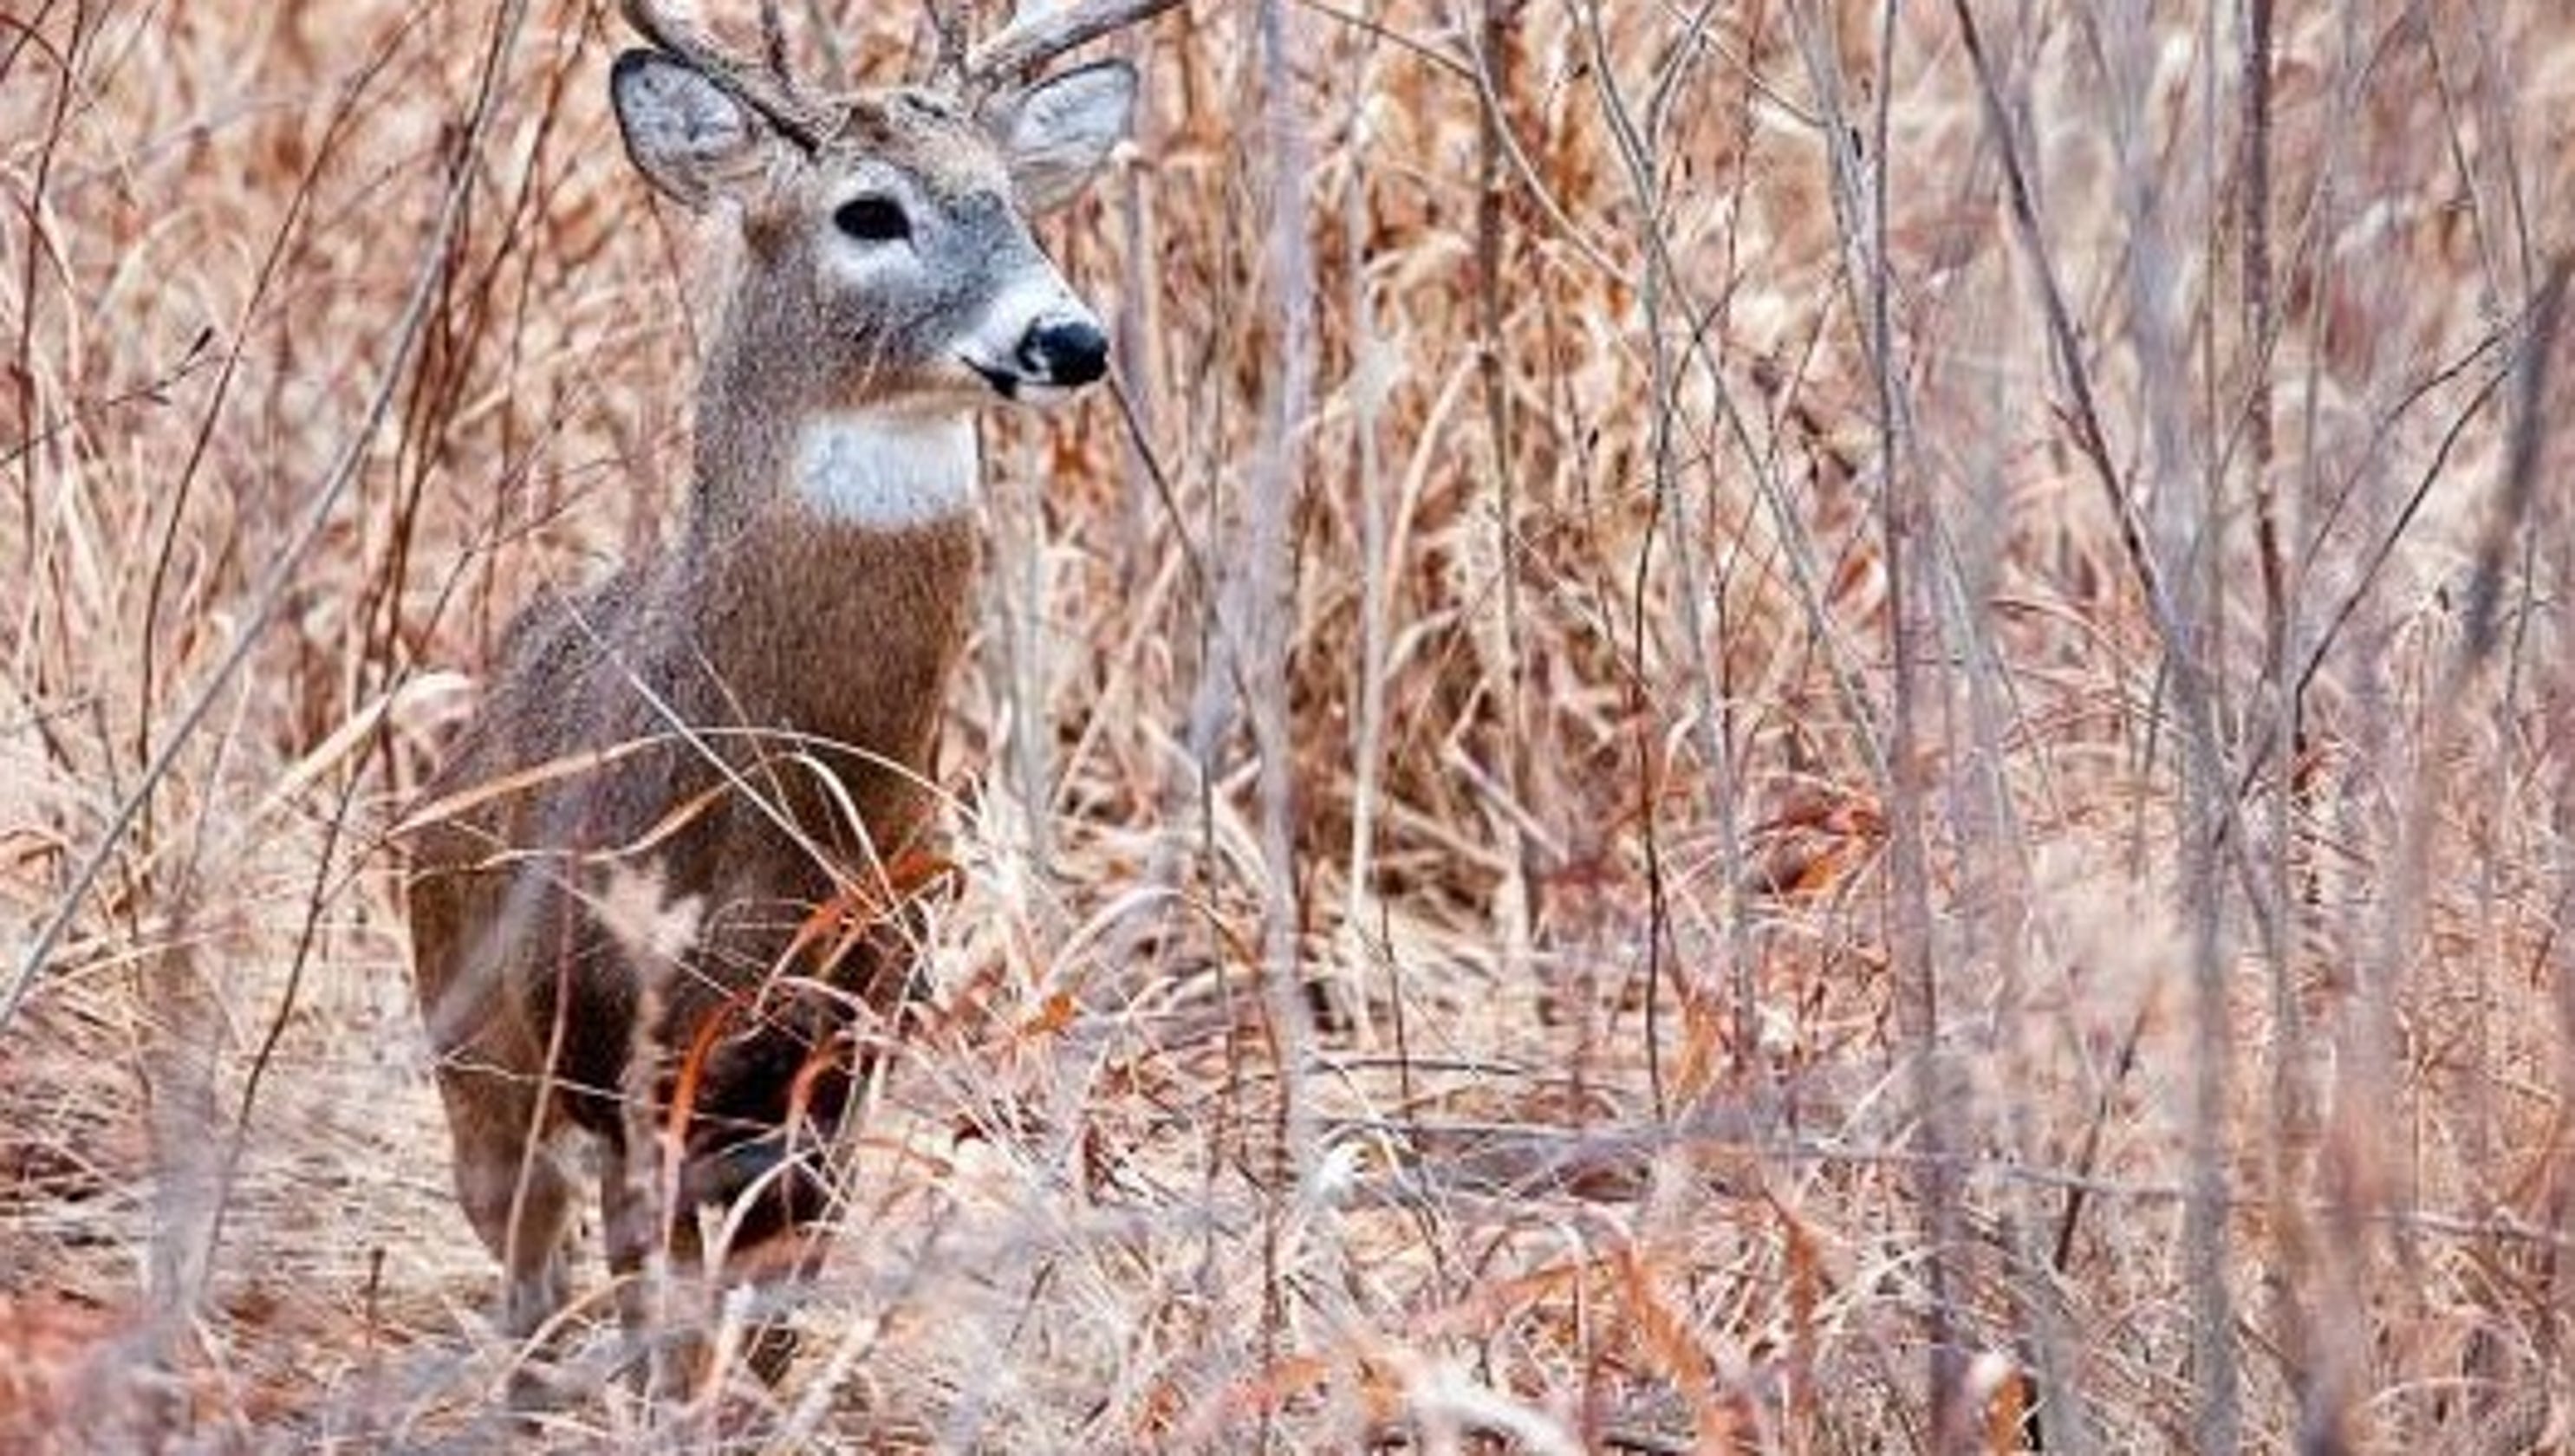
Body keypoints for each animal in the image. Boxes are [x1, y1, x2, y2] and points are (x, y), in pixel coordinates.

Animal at [404, 0, 1169, 1399]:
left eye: (1009, 201)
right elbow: (661, 1329)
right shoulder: (613, 1047)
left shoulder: (839, 1061)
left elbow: (763, 1338)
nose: (1071, 339)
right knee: (531, 1290)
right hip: (472, 1055)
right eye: (869, 212)